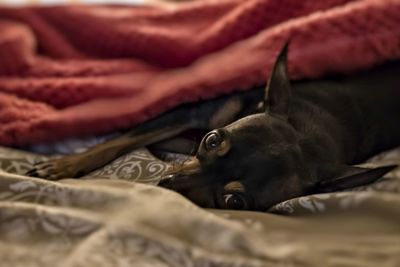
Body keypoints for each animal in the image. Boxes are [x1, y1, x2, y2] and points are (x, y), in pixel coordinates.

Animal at [28, 43, 400, 211]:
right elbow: (121, 140)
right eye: (212, 141)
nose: (165, 182)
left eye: (234, 201)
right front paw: (62, 166)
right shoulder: (194, 115)